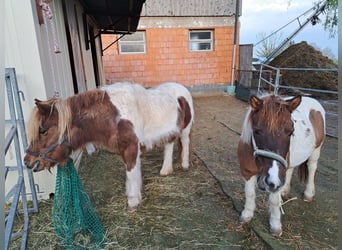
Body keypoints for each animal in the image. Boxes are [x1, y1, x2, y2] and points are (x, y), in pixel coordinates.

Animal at [24, 82, 194, 211]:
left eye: (43, 131)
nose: (28, 161)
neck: (114, 117)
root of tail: (182, 89)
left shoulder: (131, 149)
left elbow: (132, 174)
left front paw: (133, 203)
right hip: (170, 133)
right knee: (169, 145)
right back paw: (165, 170)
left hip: (185, 130)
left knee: (185, 143)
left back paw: (185, 166)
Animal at [238, 94, 326, 236]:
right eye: (256, 131)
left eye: (291, 131)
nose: (272, 179)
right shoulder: (247, 172)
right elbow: (249, 193)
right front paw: (247, 215)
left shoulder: (277, 180)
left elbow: (274, 201)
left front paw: (275, 225)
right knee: (290, 169)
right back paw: (285, 191)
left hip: (316, 150)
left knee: (312, 168)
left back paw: (308, 194)